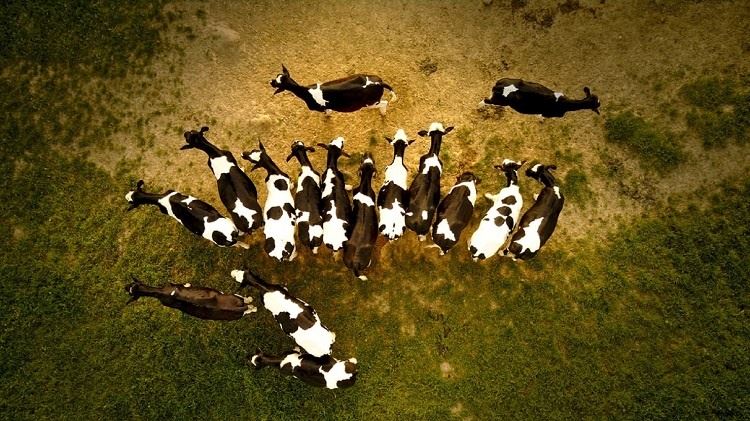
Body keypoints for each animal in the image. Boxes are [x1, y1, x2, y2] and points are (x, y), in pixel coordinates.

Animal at [124, 277, 256, 320]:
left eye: (132, 284)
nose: (124, 287)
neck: (160, 292)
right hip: (235, 303)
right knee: (249, 306)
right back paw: (251, 301)